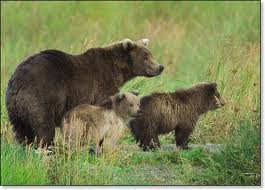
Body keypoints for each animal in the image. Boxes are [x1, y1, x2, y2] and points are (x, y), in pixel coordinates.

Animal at [5, 38, 163, 145]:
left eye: (151, 55)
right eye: (146, 57)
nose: (160, 67)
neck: (117, 70)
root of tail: (17, 81)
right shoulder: (101, 85)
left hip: (15, 110)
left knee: (22, 132)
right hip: (42, 95)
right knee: (44, 127)